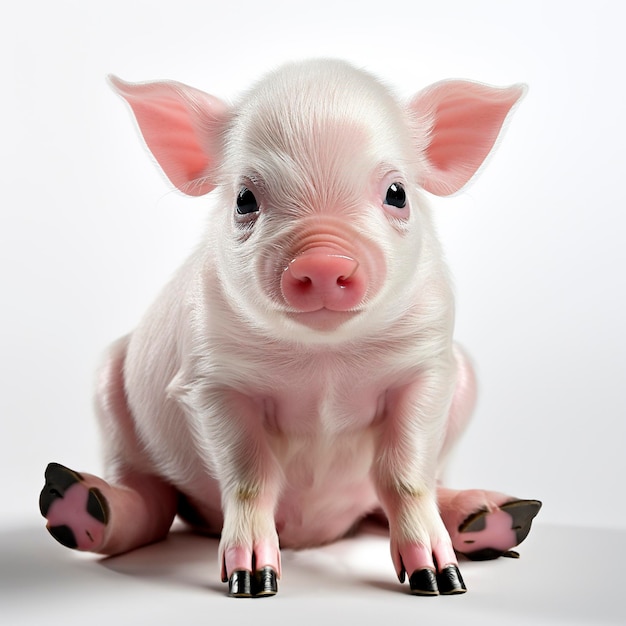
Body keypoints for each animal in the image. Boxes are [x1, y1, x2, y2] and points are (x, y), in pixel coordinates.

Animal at [39, 61, 540, 596]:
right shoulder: (209, 379)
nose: (322, 261)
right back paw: (78, 503)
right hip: (110, 397)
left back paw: (498, 520)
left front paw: (440, 582)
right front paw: (253, 584)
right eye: (244, 199)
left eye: (397, 194)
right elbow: (250, 478)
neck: (323, 363)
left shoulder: (429, 367)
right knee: (148, 499)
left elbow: (404, 475)